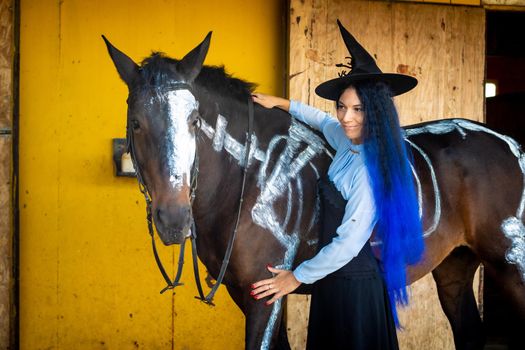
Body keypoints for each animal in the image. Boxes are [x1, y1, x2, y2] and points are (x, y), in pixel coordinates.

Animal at [102, 33, 524, 350]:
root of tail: (509, 144)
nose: (174, 219)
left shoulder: (264, 295)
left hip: (511, 265)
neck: (249, 180)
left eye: (193, 120)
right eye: (136, 123)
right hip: (454, 268)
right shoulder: (246, 292)